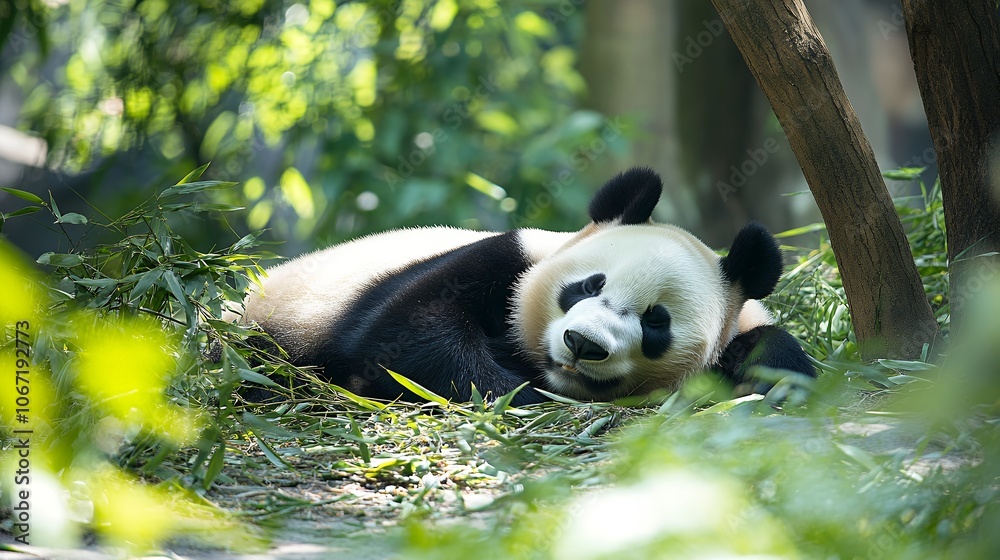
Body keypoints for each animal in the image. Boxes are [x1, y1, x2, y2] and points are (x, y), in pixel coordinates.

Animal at [231, 167, 814, 405]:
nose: (583, 344)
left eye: (655, 322)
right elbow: (403, 339)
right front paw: (516, 388)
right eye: (587, 286)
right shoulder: (502, 257)